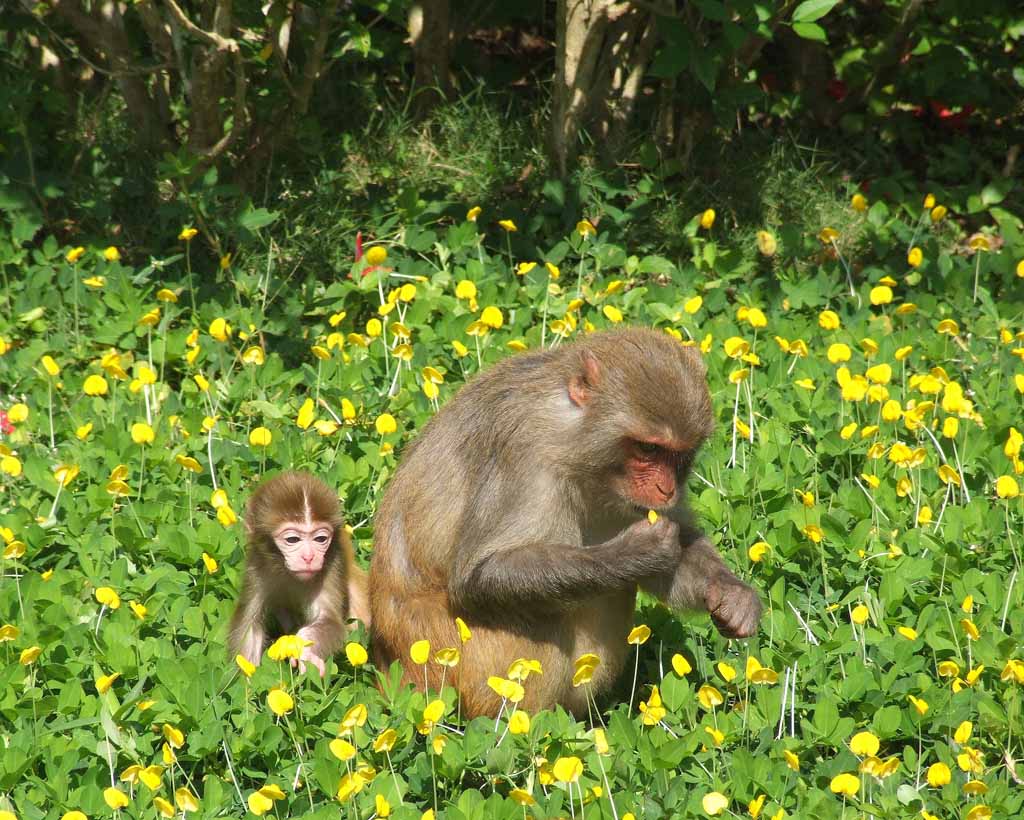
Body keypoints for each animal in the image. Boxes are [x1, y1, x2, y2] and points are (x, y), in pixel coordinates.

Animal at [228, 470, 368, 675]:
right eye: (292, 539)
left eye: (320, 539)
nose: (309, 557)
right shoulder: (258, 567)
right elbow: (249, 625)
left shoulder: (332, 563)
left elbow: (330, 620)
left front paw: (306, 649)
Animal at [368, 325, 761, 716]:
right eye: (648, 448)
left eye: (679, 455)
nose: (666, 490)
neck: (576, 439)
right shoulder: (525, 453)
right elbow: (478, 574)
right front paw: (636, 553)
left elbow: (681, 545)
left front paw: (733, 595)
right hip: (449, 658)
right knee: (542, 614)